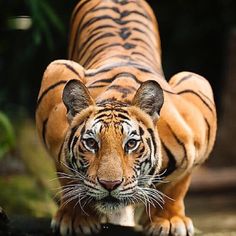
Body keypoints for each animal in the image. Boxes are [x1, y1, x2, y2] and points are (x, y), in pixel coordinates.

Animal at [34, 0, 216, 236]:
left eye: (131, 144)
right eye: (91, 143)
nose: (110, 184)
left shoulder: (197, 92)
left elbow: (177, 185)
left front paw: (169, 221)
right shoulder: (55, 77)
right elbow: (68, 176)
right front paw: (76, 219)